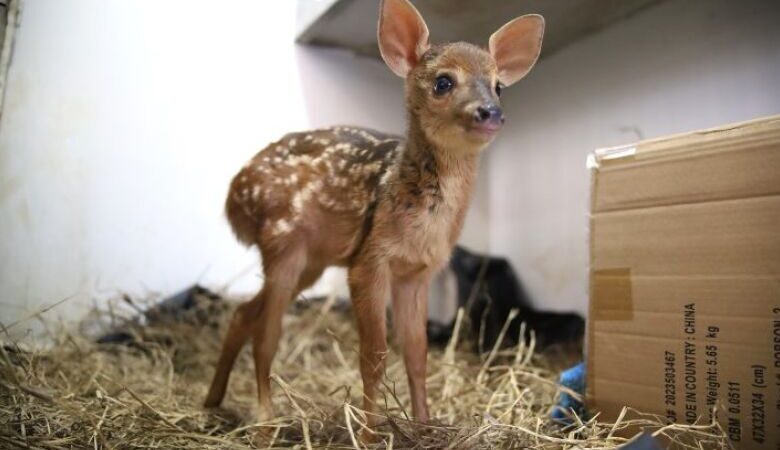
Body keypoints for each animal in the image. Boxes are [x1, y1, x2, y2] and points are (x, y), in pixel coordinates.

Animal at [204, 0, 544, 434]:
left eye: (499, 85)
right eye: (443, 82)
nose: (490, 112)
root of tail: (233, 197)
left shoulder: (417, 273)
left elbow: (416, 353)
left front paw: (424, 426)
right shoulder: (368, 262)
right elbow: (374, 355)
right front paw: (369, 433)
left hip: (310, 261)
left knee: (244, 313)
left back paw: (212, 401)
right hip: (283, 241)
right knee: (268, 334)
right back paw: (266, 420)